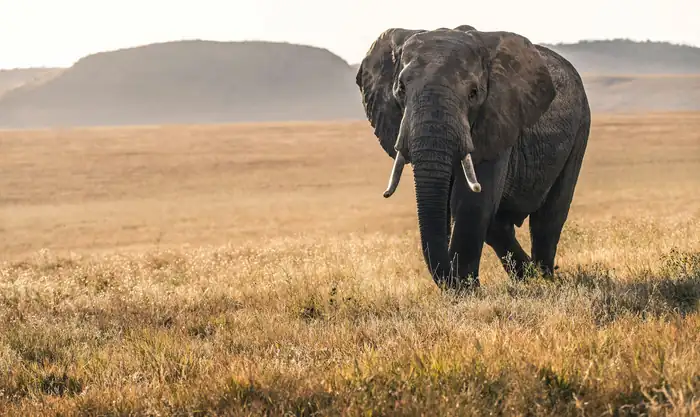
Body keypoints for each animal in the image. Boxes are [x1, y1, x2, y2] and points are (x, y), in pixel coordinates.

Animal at [355, 25, 591, 290]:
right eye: (401, 89)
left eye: (473, 93)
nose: (452, 282)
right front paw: (463, 288)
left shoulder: (498, 118)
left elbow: (470, 202)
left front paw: (466, 291)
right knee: (499, 226)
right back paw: (527, 278)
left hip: (581, 128)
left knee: (548, 217)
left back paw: (544, 279)